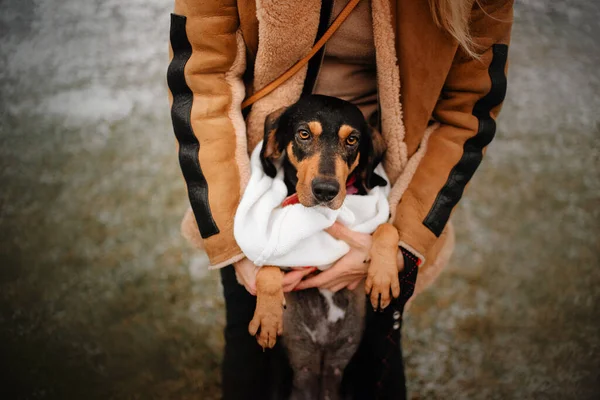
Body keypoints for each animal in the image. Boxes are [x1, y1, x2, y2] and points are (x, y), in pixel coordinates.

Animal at [250, 94, 404, 400]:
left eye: (352, 140)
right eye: (303, 134)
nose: (325, 191)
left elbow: (387, 228)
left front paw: (383, 276)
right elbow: (267, 267)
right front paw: (268, 316)